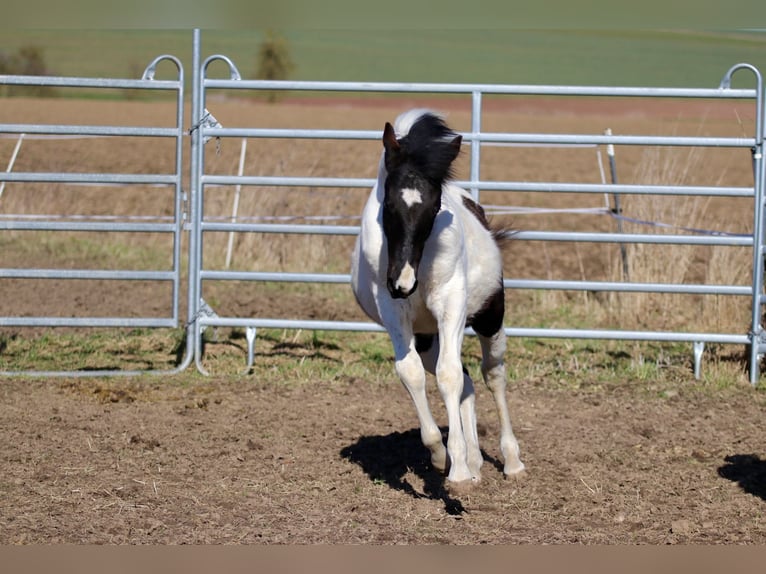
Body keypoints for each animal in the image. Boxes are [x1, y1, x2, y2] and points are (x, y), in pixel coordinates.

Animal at [350, 109, 525, 491]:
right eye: (389, 204)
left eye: (433, 208)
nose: (402, 282)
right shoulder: (395, 313)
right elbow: (412, 373)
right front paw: (441, 455)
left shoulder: (451, 308)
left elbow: (449, 376)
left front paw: (456, 471)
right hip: (427, 337)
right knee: (468, 382)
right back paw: (475, 462)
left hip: (490, 317)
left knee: (492, 375)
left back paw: (511, 460)